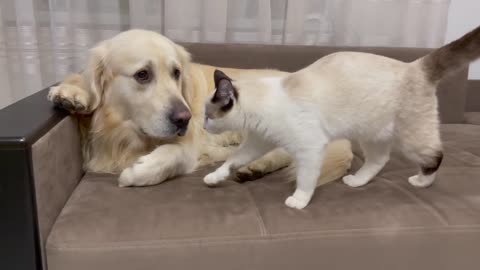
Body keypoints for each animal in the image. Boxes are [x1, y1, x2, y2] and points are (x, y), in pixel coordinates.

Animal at [201, 25, 478, 209]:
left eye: (208, 116)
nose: (202, 126)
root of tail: (415, 65)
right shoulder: (259, 141)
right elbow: (233, 162)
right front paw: (213, 177)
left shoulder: (310, 148)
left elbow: (306, 178)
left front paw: (298, 201)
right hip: (372, 134)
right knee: (379, 160)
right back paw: (356, 181)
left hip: (411, 138)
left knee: (434, 156)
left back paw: (421, 181)